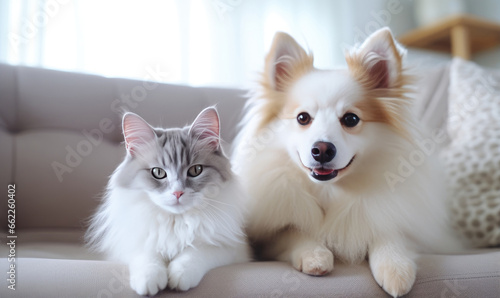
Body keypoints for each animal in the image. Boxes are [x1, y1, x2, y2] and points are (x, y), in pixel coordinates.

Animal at [87, 107, 250, 296]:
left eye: (196, 170)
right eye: (158, 172)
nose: (177, 192)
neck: (175, 221)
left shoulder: (230, 247)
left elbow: (195, 253)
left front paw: (179, 276)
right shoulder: (132, 243)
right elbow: (148, 256)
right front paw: (149, 281)